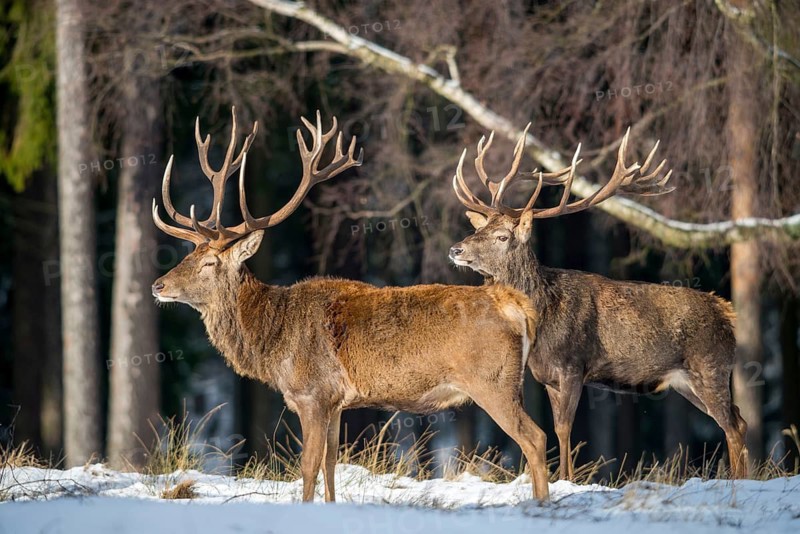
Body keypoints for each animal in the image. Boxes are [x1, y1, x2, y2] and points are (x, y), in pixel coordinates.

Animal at [150, 108, 550, 502]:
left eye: (208, 263)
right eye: (189, 253)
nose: (158, 285)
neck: (273, 340)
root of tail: (517, 305)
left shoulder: (312, 393)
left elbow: (308, 467)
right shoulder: (336, 402)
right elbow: (330, 465)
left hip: (491, 381)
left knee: (535, 437)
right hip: (510, 382)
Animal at [448, 125, 749, 480]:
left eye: (502, 236)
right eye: (479, 228)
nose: (456, 249)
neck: (543, 318)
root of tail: (727, 313)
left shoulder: (573, 365)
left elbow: (564, 428)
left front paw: (567, 480)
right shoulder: (546, 377)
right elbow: (555, 427)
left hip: (711, 366)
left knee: (732, 425)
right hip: (687, 382)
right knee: (739, 419)